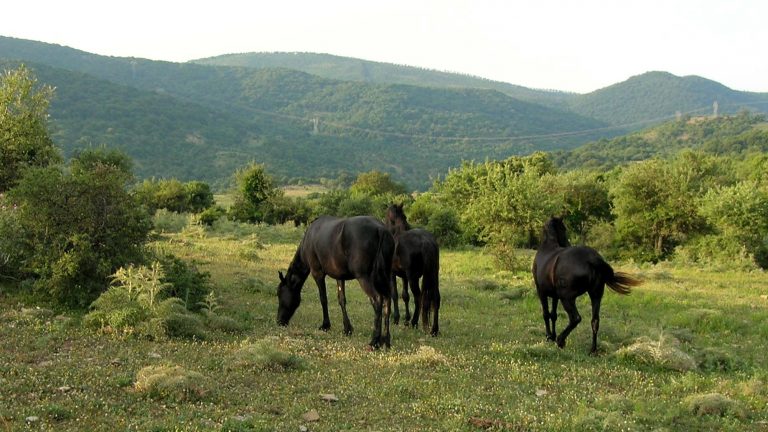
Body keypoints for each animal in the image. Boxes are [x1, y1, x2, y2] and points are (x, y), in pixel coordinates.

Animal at [277, 215, 395, 349]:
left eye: (279, 294)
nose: (279, 321)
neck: (309, 238)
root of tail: (380, 229)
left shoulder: (317, 273)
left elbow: (323, 299)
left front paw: (325, 325)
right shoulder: (340, 276)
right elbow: (342, 300)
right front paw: (347, 329)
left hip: (365, 278)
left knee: (377, 299)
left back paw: (374, 341)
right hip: (384, 276)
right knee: (387, 301)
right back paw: (386, 340)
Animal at [385, 204, 441, 336]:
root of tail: (426, 241)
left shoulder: (392, 274)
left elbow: (395, 294)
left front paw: (396, 318)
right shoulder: (404, 276)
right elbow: (405, 296)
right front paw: (406, 319)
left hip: (413, 278)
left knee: (418, 297)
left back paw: (415, 322)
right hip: (433, 275)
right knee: (436, 298)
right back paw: (434, 330)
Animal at [532, 217, 641, 354]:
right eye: (563, 228)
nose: (567, 244)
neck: (548, 247)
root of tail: (592, 258)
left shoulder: (541, 292)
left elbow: (546, 314)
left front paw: (549, 337)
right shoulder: (554, 296)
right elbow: (553, 315)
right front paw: (552, 335)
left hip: (567, 298)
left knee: (575, 318)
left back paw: (561, 340)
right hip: (596, 296)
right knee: (595, 321)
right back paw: (592, 350)